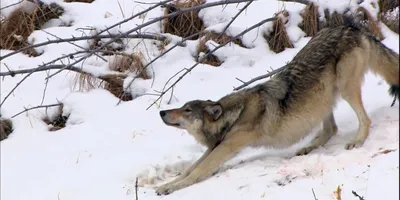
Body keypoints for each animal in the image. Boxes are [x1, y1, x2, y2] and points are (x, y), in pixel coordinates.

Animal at [155, 19, 398, 195]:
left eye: (187, 110)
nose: (161, 112)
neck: (235, 116)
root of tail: (352, 27)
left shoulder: (226, 146)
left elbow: (197, 172)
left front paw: (172, 188)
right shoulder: (216, 147)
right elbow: (189, 168)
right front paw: (166, 185)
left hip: (344, 89)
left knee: (364, 120)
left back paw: (357, 141)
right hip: (321, 97)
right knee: (331, 129)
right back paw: (308, 148)